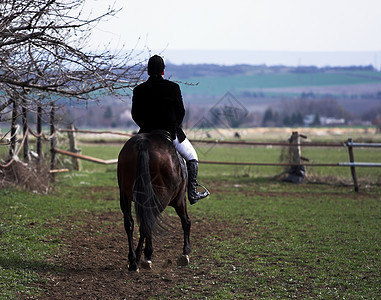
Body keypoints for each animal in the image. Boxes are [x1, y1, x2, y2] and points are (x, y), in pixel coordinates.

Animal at [116, 132, 190, 272]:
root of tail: (143, 142)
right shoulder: (180, 199)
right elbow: (186, 221)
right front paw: (185, 253)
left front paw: (137, 257)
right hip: (162, 197)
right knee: (148, 221)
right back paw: (146, 257)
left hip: (125, 194)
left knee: (130, 223)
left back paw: (133, 261)